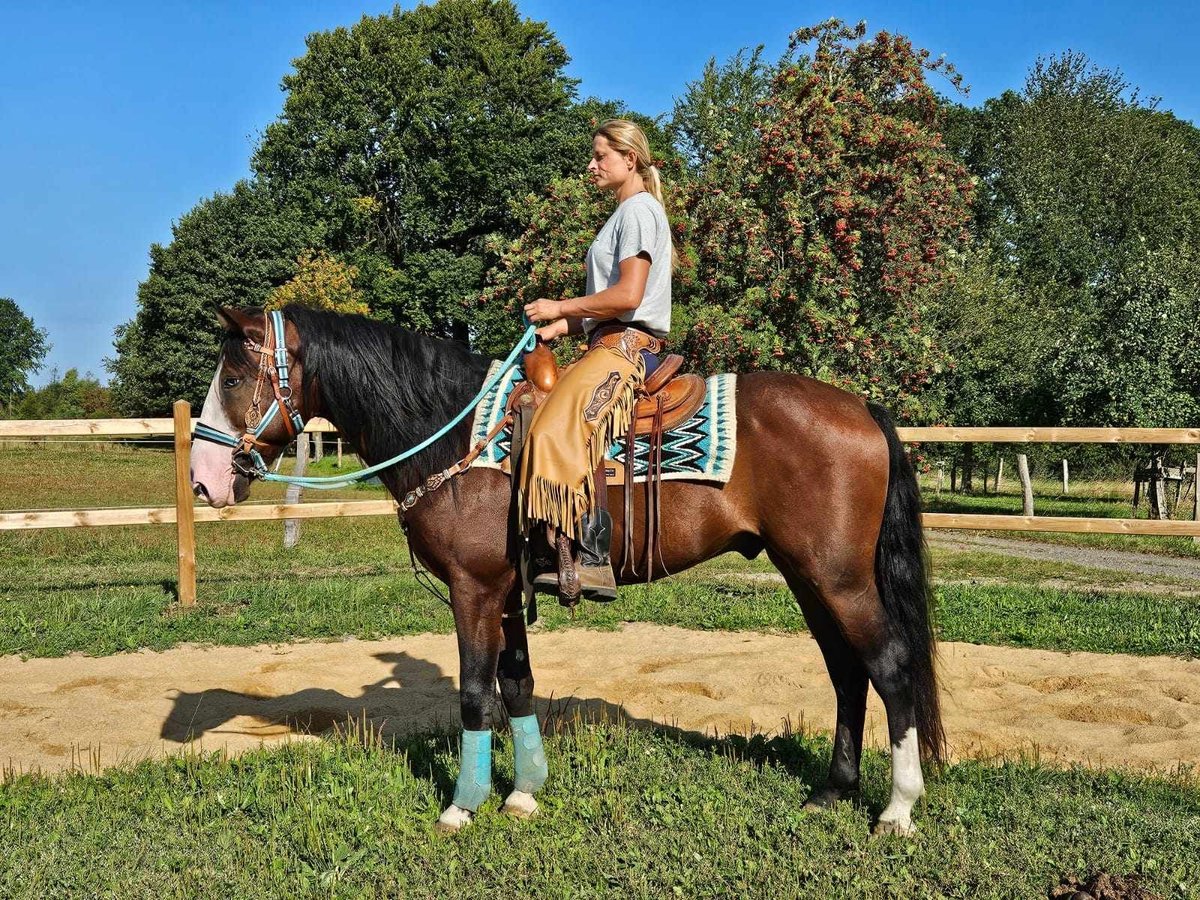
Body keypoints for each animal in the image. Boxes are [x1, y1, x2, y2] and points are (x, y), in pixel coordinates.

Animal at [192, 304, 940, 840]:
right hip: (808, 574)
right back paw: (832, 790)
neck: (456, 435)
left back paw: (897, 809)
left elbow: (475, 693)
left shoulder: (473, 589)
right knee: (846, 672)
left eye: (231, 379)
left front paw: (462, 806)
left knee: (889, 666)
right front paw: (524, 792)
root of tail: (861, 407)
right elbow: (518, 685)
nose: (203, 481)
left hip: (839, 578)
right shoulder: (505, 589)